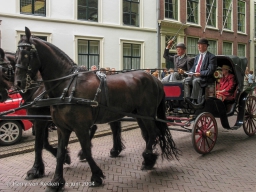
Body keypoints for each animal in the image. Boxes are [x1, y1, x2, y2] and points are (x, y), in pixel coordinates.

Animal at [0, 47, 123, 180]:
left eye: (3, 69)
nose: (2, 96)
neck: (36, 89)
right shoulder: (44, 121)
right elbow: (44, 143)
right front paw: (62, 158)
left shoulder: (40, 121)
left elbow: (38, 145)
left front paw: (36, 169)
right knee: (110, 126)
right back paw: (113, 150)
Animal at [14, 27, 178, 191]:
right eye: (16, 54)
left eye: (27, 54)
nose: (18, 83)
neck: (67, 86)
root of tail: (155, 79)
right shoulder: (62, 128)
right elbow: (59, 153)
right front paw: (57, 181)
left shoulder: (79, 127)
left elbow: (86, 149)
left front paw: (96, 176)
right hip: (139, 115)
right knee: (148, 135)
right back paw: (149, 160)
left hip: (147, 113)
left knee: (153, 133)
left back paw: (147, 156)